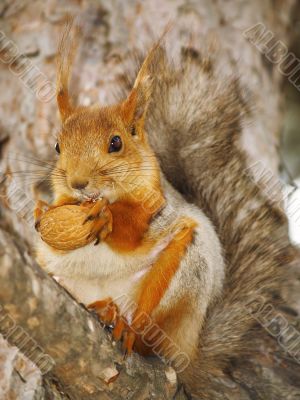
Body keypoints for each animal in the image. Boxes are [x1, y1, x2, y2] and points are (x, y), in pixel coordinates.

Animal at [34, 24, 224, 368]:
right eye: (57, 146)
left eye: (116, 142)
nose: (79, 183)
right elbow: (55, 224)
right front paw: (41, 211)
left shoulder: (155, 205)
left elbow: (131, 232)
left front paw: (106, 218)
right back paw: (104, 309)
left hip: (187, 272)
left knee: (149, 334)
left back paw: (127, 328)